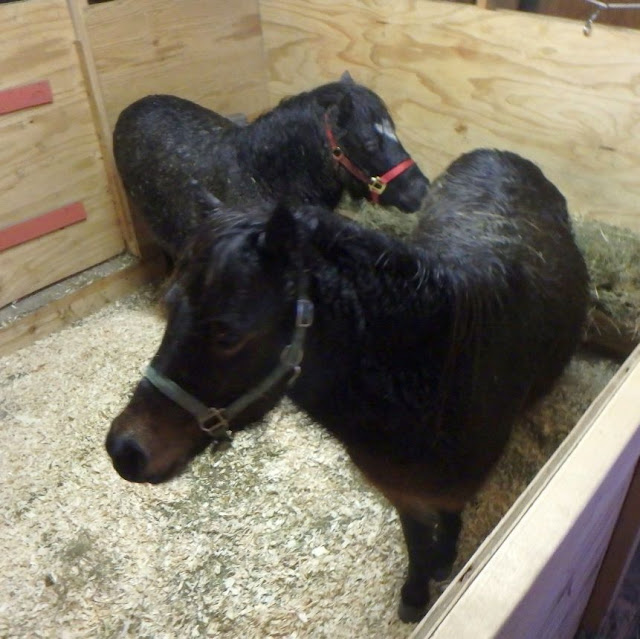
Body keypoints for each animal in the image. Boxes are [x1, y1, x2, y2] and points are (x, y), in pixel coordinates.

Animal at [105, 149, 589, 622]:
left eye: (227, 334)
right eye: (170, 306)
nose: (124, 450)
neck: (437, 373)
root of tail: (502, 155)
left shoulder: (454, 488)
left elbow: (448, 522)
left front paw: (442, 564)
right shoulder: (398, 490)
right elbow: (415, 537)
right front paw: (416, 592)